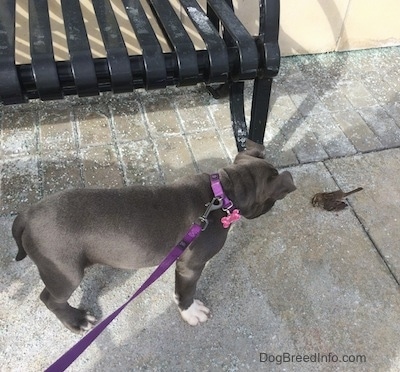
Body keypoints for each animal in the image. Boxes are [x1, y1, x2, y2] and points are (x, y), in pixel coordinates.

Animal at [12, 141, 296, 332]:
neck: (222, 192)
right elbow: (187, 291)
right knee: (50, 298)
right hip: (65, 272)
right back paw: (77, 321)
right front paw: (190, 312)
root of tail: (27, 213)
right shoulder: (191, 264)